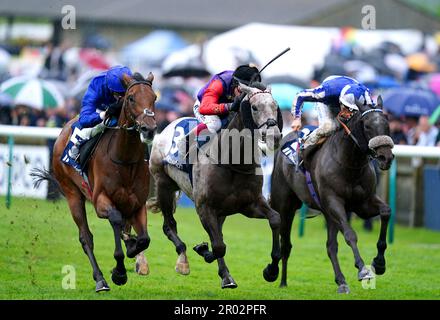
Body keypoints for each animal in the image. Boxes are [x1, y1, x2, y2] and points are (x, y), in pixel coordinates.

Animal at [32, 71, 156, 292]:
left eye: (154, 98)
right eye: (131, 98)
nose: (149, 129)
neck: (125, 159)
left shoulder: (138, 204)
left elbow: (143, 239)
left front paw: (132, 248)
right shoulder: (100, 201)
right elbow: (115, 221)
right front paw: (119, 272)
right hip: (72, 194)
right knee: (86, 238)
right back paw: (100, 280)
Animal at [150, 82, 284, 288]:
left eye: (275, 106)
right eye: (254, 107)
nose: (274, 137)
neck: (233, 163)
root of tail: (168, 125)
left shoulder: (250, 204)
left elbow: (275, 219)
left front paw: (271, 270)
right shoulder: (204, 207)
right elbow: (219, 246)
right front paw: (202, 250)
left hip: (221, 211)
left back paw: (226, 276)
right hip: (164, 184)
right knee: (169, 226)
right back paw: (183, 261)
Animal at [270, 96, 394, 294]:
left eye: (387, 124)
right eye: (367, 126)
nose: (385, 157)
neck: (349, 163)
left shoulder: (363, 203)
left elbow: (386, 212)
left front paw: (379, 263)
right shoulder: (334, 202)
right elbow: (350, 235)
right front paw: (362, 269)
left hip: (328, 214)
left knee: (330, 246)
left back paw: (341, 281)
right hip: (286, 205)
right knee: (285, 243)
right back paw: (277, 277)